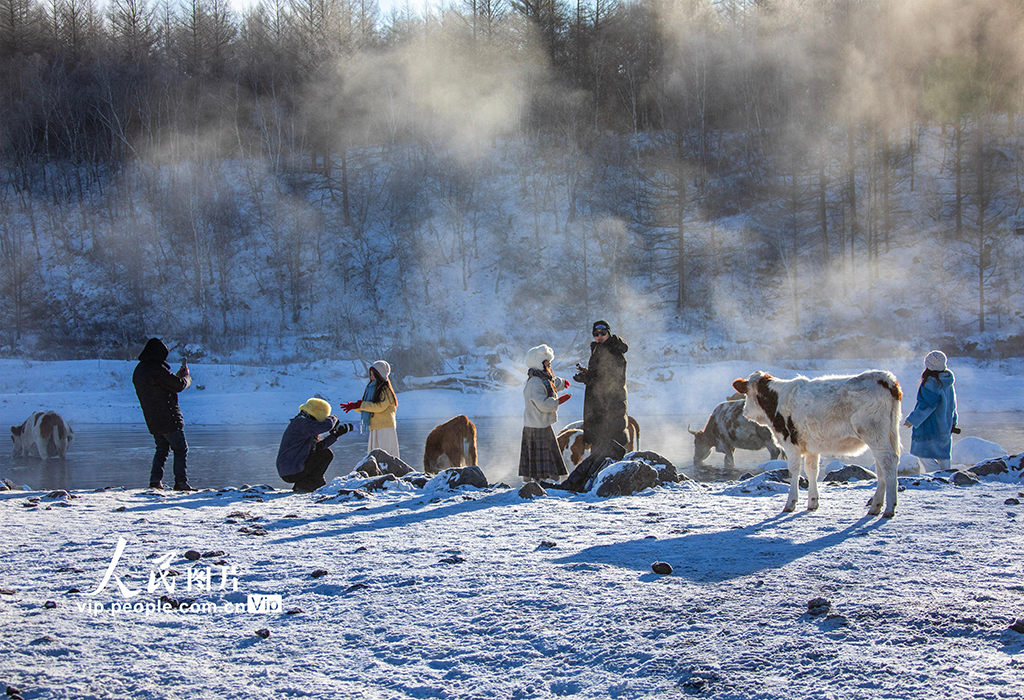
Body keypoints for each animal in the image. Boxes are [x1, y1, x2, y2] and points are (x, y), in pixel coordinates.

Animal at [729, 372, 905, 513]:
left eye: (746, 394)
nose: (745, 411)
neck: (776, 400)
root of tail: (885, 378)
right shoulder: (811, 446)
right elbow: (811, 470)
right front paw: (813, 502)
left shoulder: (791, 444)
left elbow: (794, 471)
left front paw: (790, 503)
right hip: (885, 436)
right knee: (881, 466)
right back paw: (876, 506)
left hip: (874, 434)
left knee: (888, 461)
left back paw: (889, 508)